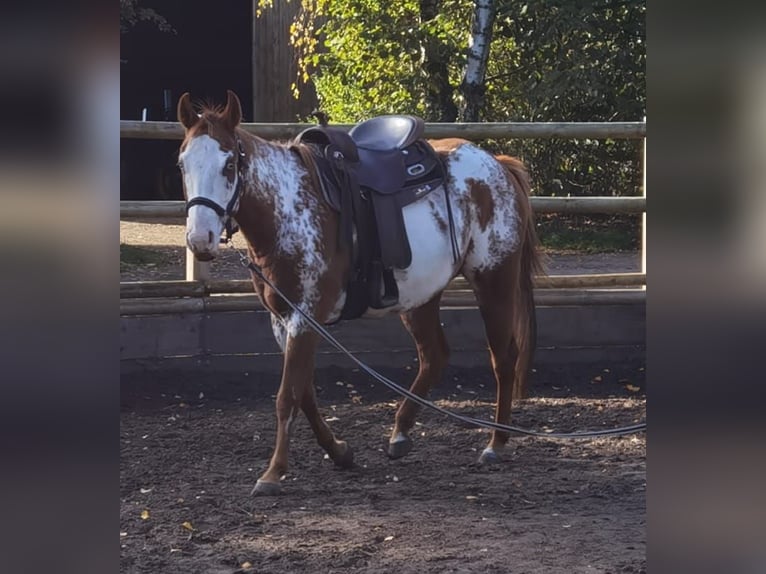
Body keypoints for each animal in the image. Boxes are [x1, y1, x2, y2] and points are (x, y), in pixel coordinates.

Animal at [177, 91, 544, 500]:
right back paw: (400, 434)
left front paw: (273, 473)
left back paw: (496, 444)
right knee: (434, 355)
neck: (286, 208)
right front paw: (339, 452)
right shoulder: (283, 320)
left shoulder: (304, 317)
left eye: (229, 164)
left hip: (494, 280)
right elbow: (304, 391)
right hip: (421, 296)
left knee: (503, 359)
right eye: (182, 163)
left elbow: (288, 395)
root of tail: (498, 165)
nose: (201, 239)